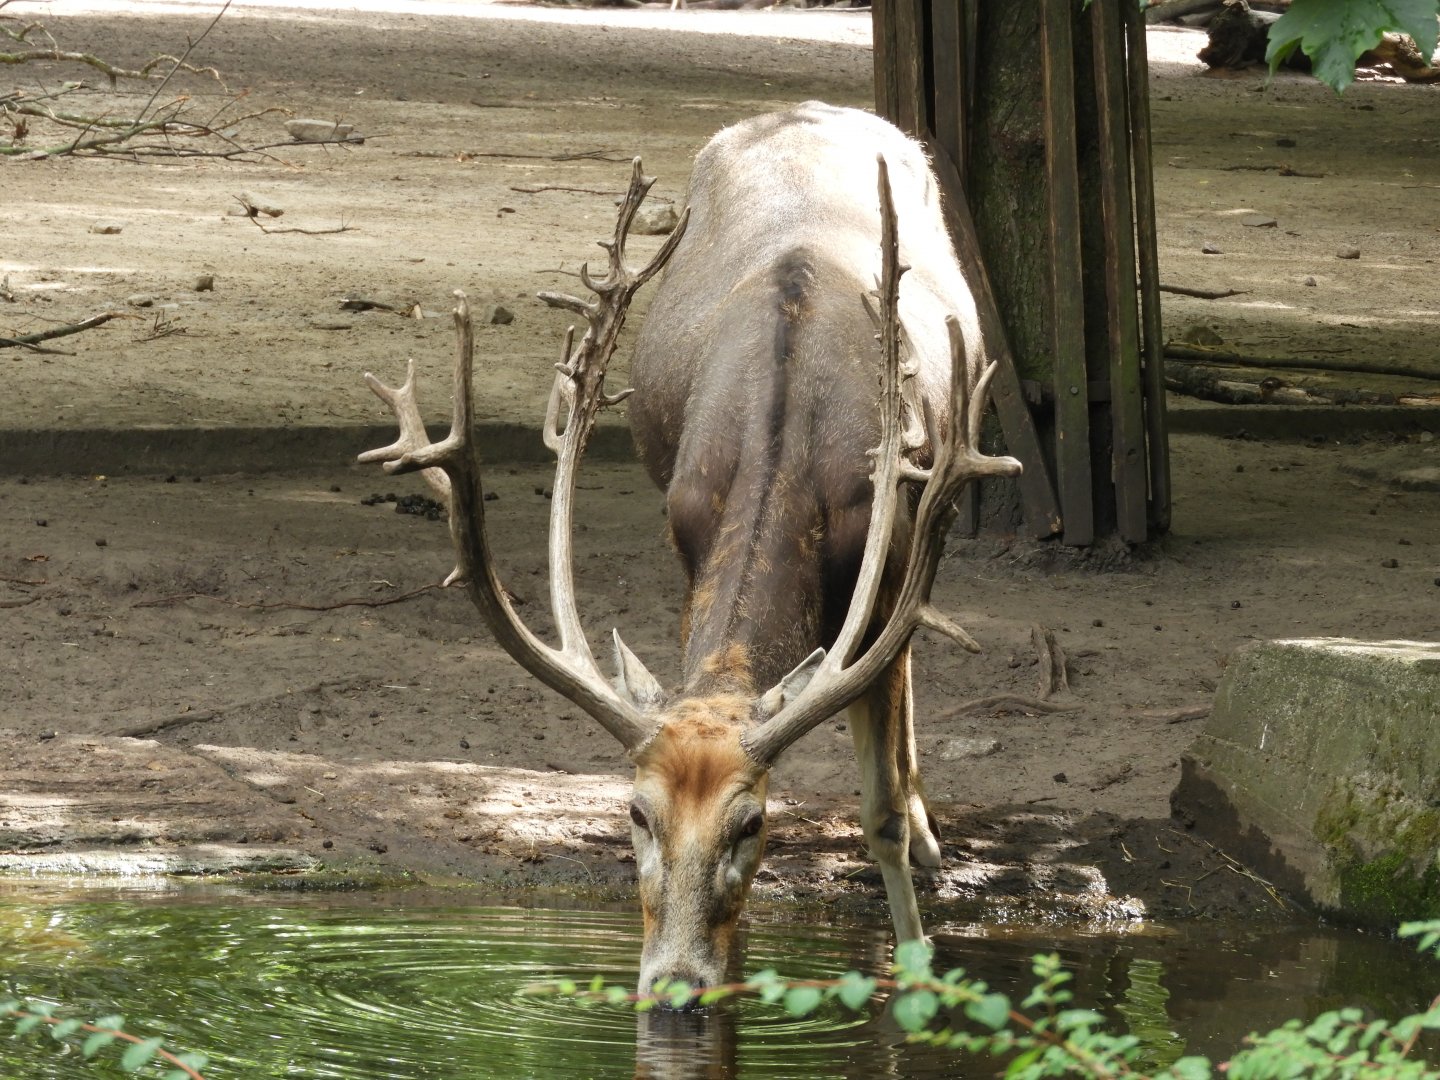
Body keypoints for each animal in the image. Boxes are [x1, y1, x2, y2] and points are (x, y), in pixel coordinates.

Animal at [359, 101, 1021, 1005]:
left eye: (754, 822)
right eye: (637, 812)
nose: (673, 984)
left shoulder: (889, 561)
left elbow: (878, 805)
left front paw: (916, 957)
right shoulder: (685, 530)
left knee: (909, 656)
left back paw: (927, 826)